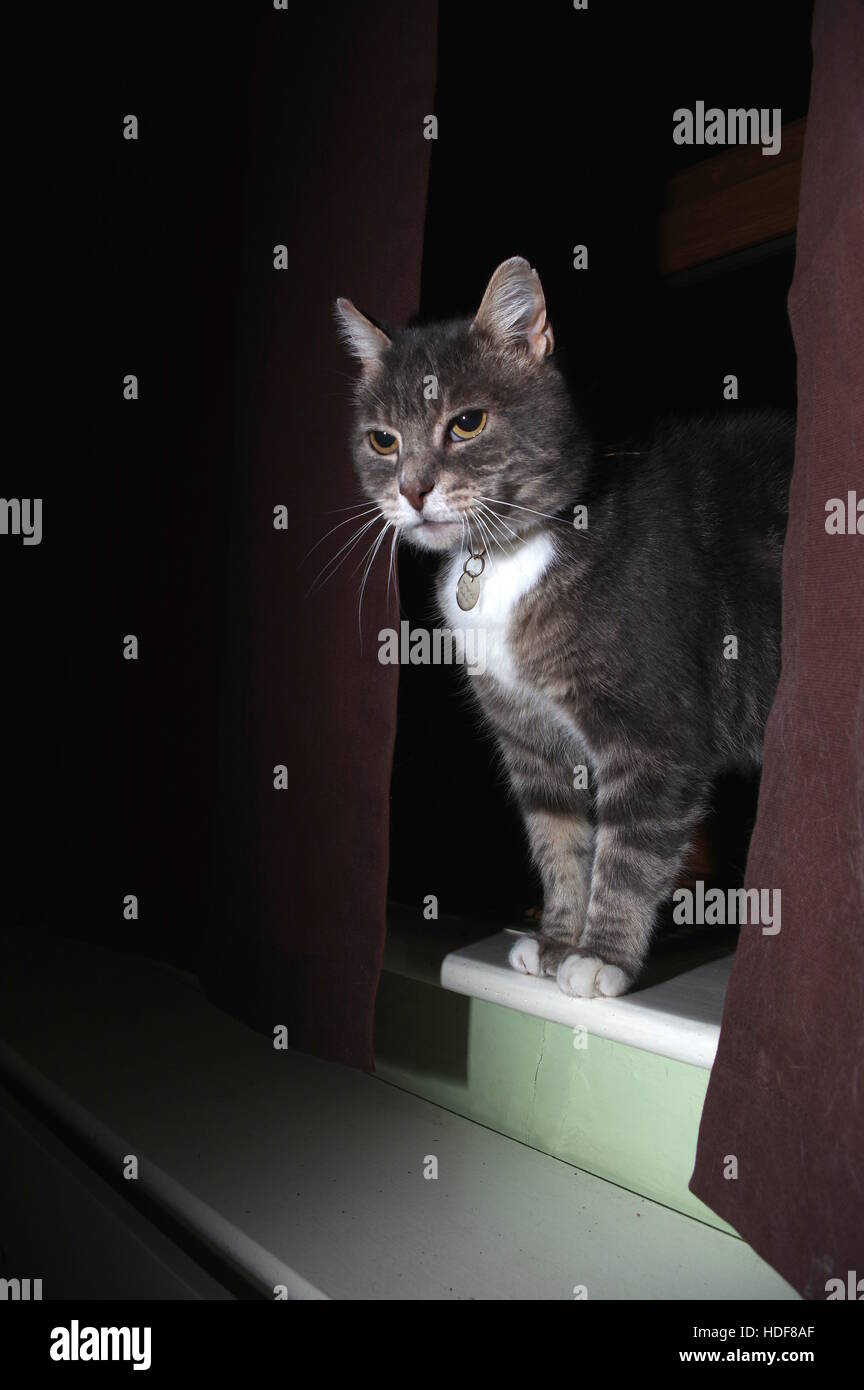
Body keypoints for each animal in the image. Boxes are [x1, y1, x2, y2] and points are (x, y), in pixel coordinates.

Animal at [334, 258, 794, 1000]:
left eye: (467, 423)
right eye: (382, 439)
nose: (411, 489)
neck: (509, 558)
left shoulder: (653, 735)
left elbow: (629, 851)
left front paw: (602, 956)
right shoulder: (532, 741)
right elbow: (559, 840)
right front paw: (555, 941)